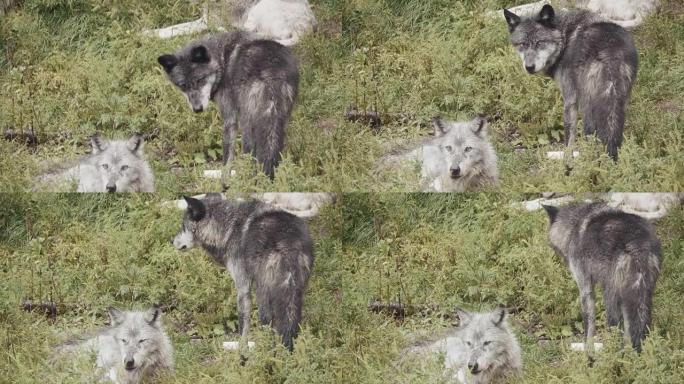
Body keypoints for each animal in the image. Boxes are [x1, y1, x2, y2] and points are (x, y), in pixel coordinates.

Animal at [160, 31, 302, 178]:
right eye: (183, 85)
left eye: (200, 80)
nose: (197, 109)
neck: (222, 59)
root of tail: (270, 73)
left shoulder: (230, 119)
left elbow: (226, 161)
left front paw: (225, 182)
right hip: (279, 122)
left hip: (247, 126)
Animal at [175, 196, 316, 350]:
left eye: (183, 226)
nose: (172, 241)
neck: (227, 226)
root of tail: (288, 243)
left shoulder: (243, 288)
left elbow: (243, 327)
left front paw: (241, 350)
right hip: (296, 294)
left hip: (263, 294)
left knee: (267, 323)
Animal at [502, 3, 640, 159]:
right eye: (522, 44)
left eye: (540, 43)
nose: (529, 67)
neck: (564, 36)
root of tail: (609, 52)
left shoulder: (569, 100)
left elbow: (569, 140)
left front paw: (566, 162)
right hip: (619, 104)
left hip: (587, 108)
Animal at [544, 202, 660, 352]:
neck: (573, 226)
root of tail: (637, 242)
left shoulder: (585, 287)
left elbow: (588, 325)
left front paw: (588, 353)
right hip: (641, 297)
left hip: (611, 297)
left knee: (616, 327)